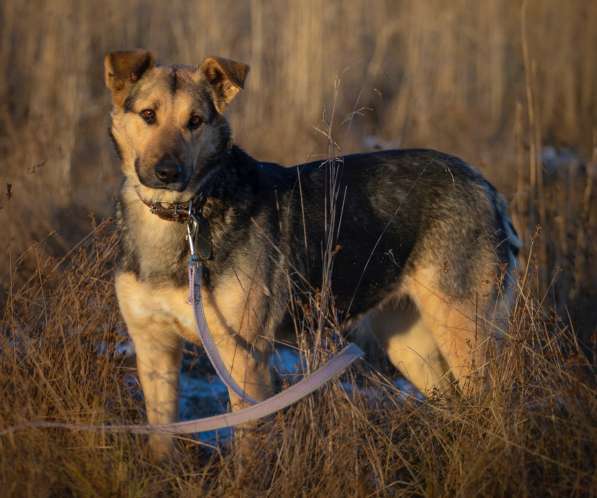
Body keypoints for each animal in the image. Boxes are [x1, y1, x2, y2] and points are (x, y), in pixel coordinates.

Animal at [105, 48, 520, 458]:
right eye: (148, 115)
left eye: (195, 121)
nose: (167, 172)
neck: (182, 217)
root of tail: (484, 185)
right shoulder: (154, 349)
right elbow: (161, 439)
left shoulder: (244, 359)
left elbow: (248, 454)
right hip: (408, 343)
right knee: (455, 403)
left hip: (462, 330)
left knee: (492, 404)